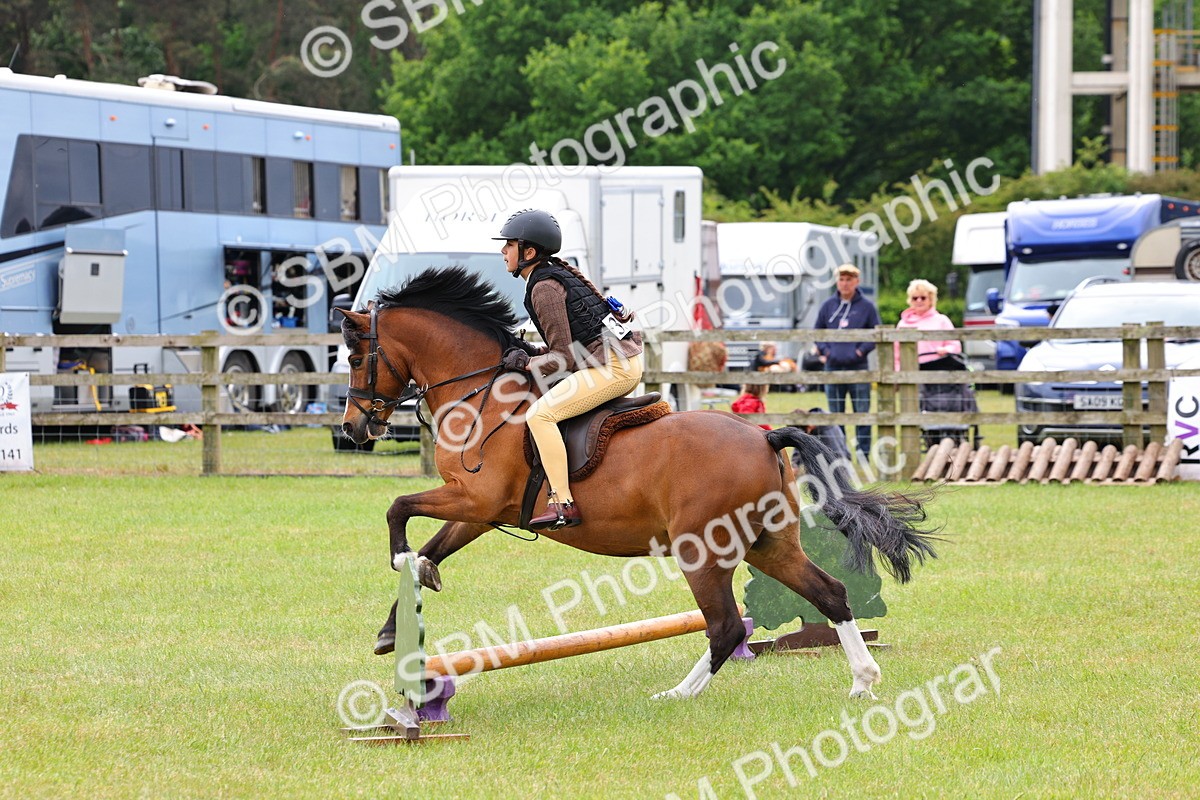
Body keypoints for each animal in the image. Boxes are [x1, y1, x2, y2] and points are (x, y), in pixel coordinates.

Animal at [338, 266, 939, 700]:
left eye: (355, 356)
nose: (353, 428)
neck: (481, 396)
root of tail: (764, 438)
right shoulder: (482, 512)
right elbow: (431, 548)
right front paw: (393, 628)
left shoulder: (474, 499)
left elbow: (398, 509)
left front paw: (401, 564)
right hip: (768, 545)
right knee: (828, 594)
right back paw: (862, 681)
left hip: (703, 551)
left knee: (725, 626)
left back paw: (676, 695)